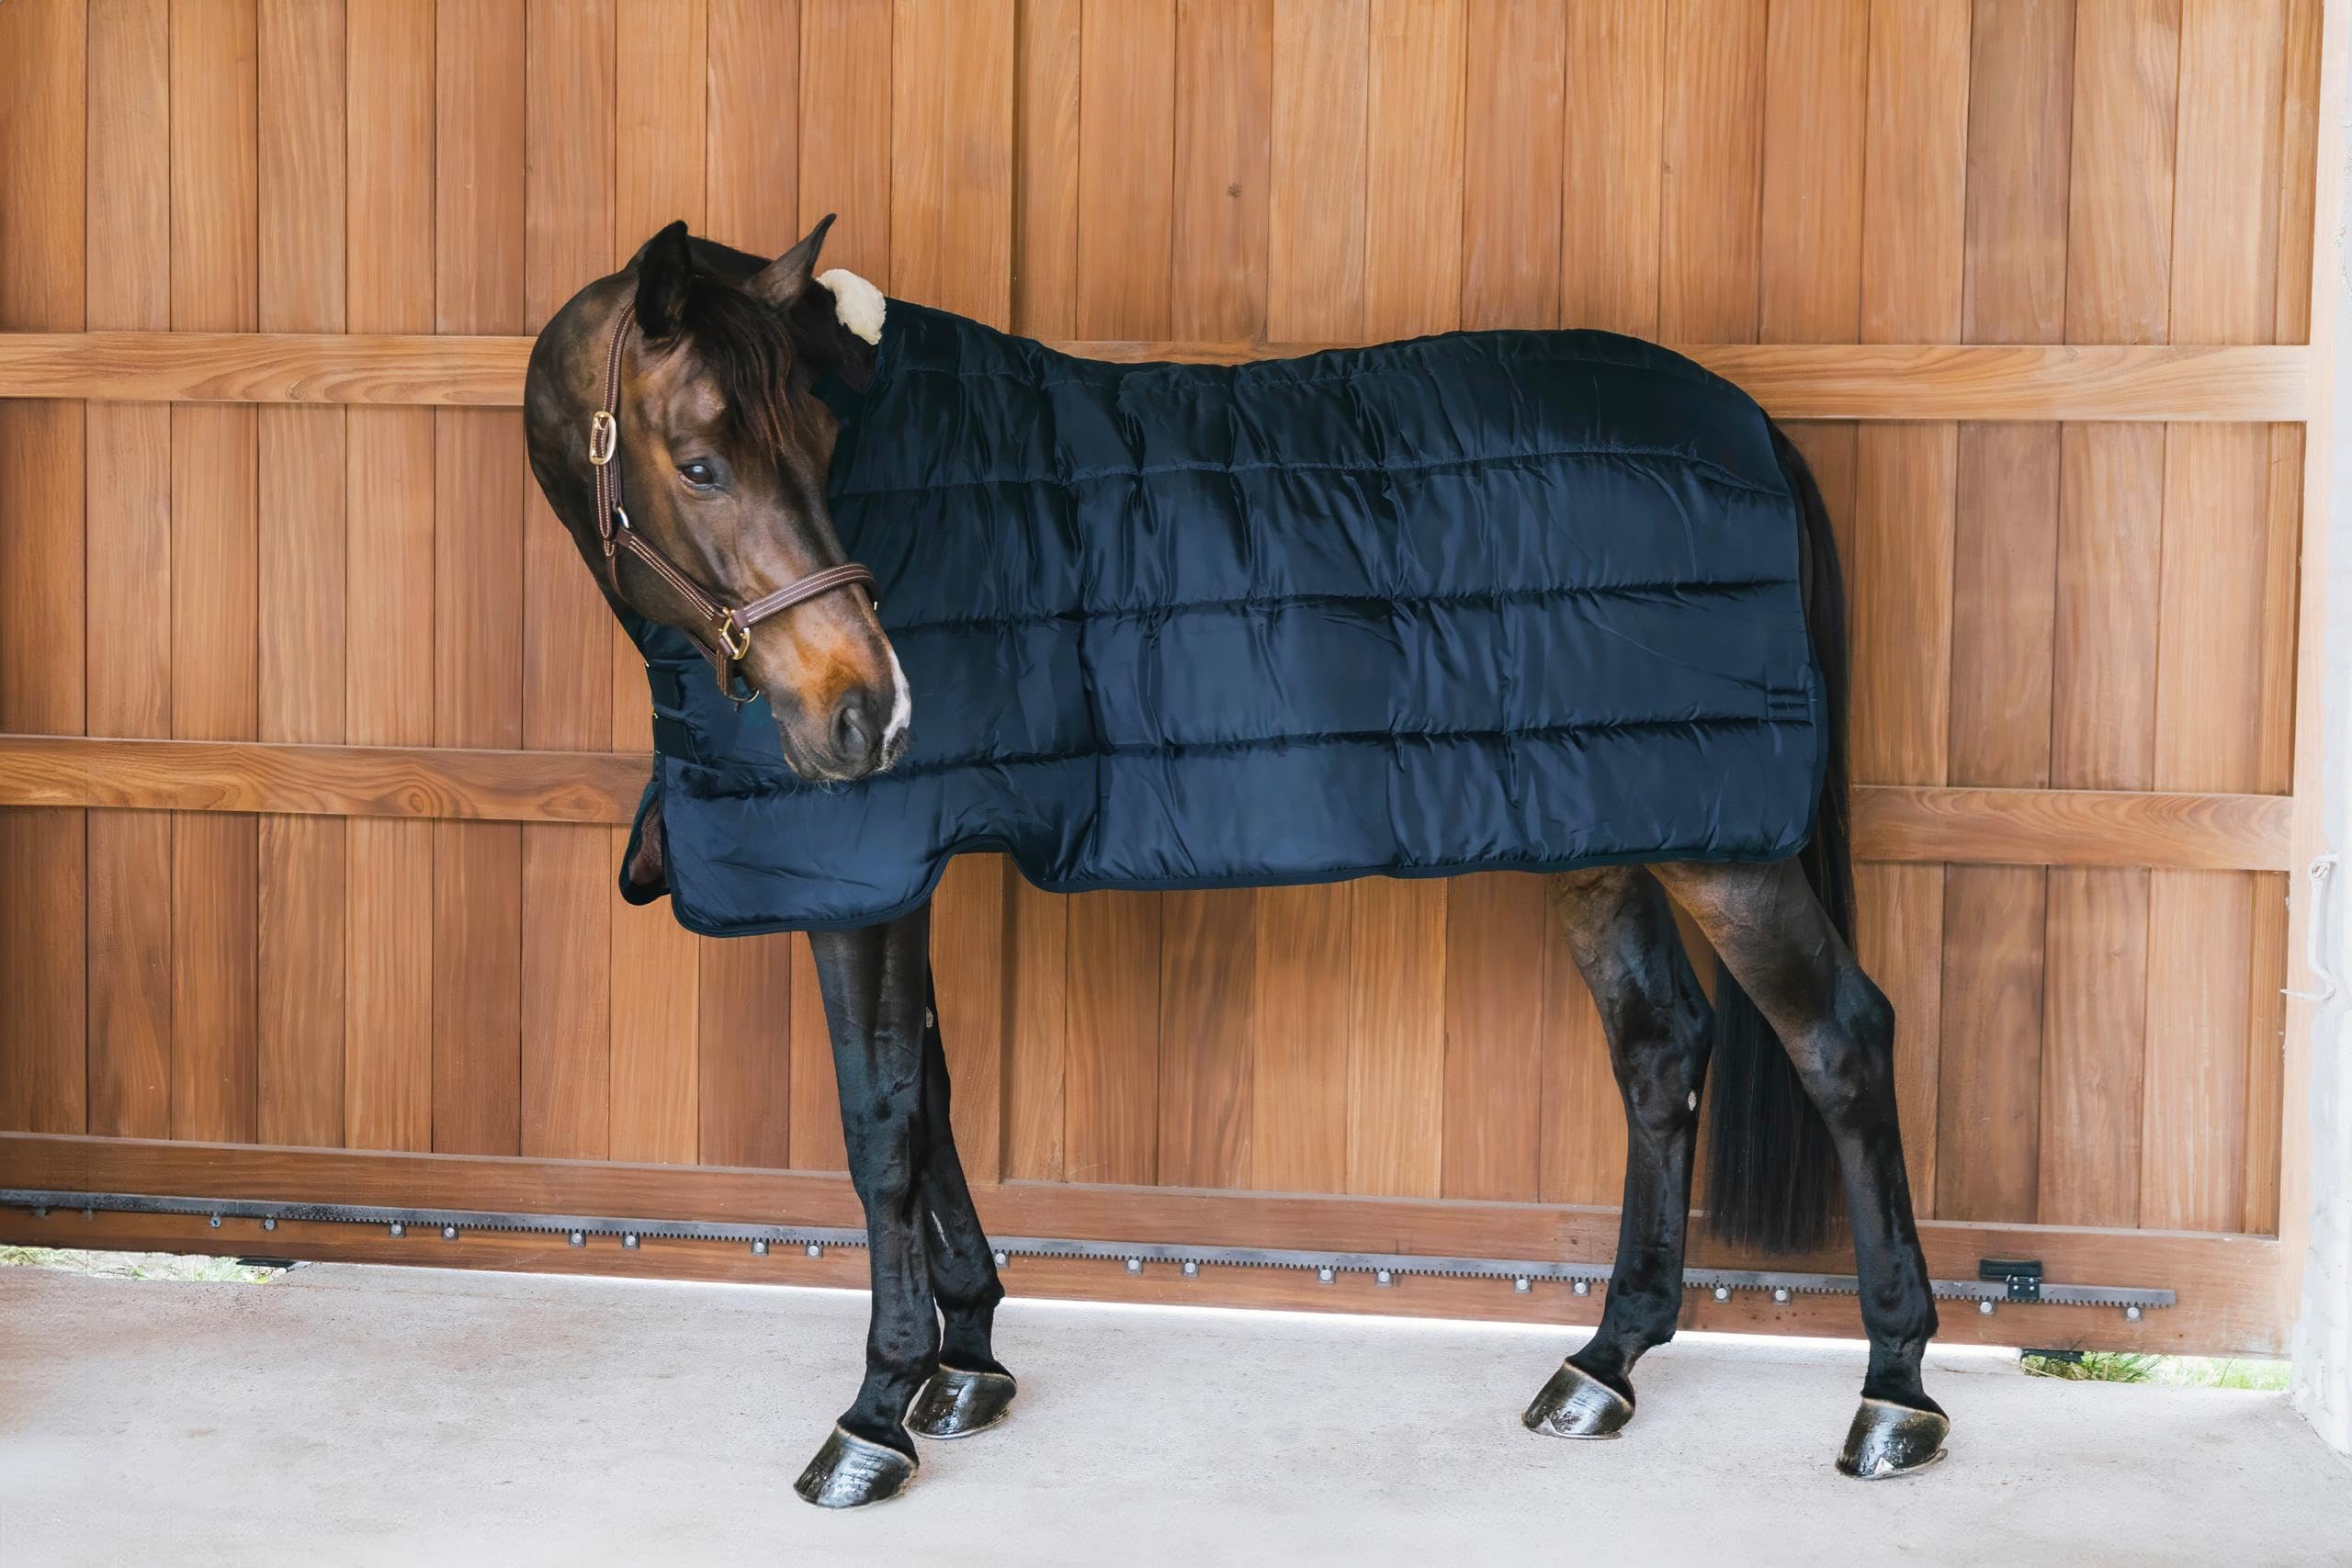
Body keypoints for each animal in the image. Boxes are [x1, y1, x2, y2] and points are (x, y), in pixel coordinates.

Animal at [522, 217, 1946, 1509]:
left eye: (819, 445)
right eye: (701, 462)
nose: (872, 714)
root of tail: (1747, 421)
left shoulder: (866, 866)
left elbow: (880, 1125)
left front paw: (877, 1411)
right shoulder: (897, 869)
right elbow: (931, 1100)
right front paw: (968, 1359)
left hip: (1721, 850)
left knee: (1839, 1037)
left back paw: (1895, 1395)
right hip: (1604, 823)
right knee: (1658, 1048)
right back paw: (1605, 1364)